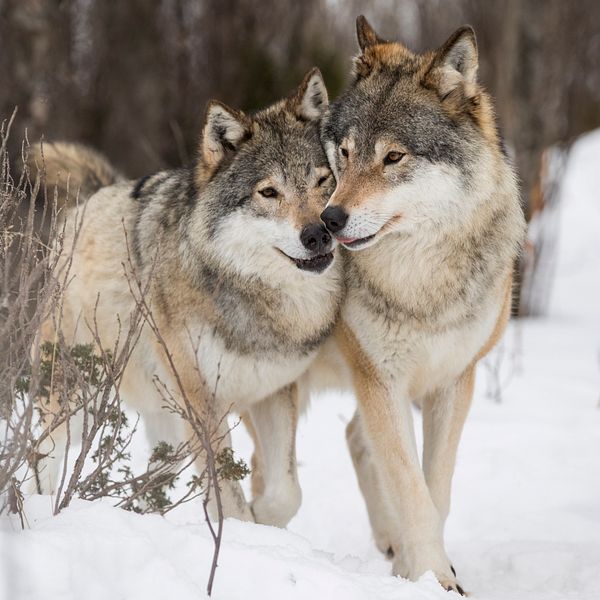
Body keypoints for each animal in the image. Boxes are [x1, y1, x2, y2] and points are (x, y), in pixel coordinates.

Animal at [31, 68, 342, 524]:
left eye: (323, 181)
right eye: (269, 192)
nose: (318, 233)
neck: (257, 297)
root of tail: (86, 201)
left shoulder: (273, 392)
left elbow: (286, 492)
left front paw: (264, 521)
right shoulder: (202, 402)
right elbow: (228, 499)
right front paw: (244, 530)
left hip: (168, 427)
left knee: (150, 481)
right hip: (77, 399)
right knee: (40, 454)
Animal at [316, 16, 528, 592]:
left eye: (393, 157)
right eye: (345, 153)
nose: (329, 220)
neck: (419, 282)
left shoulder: (454, 381)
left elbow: (436, 488)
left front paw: (429, 572)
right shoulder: (380, 380)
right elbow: (412, 491)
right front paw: (433, 576)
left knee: (353, 436)